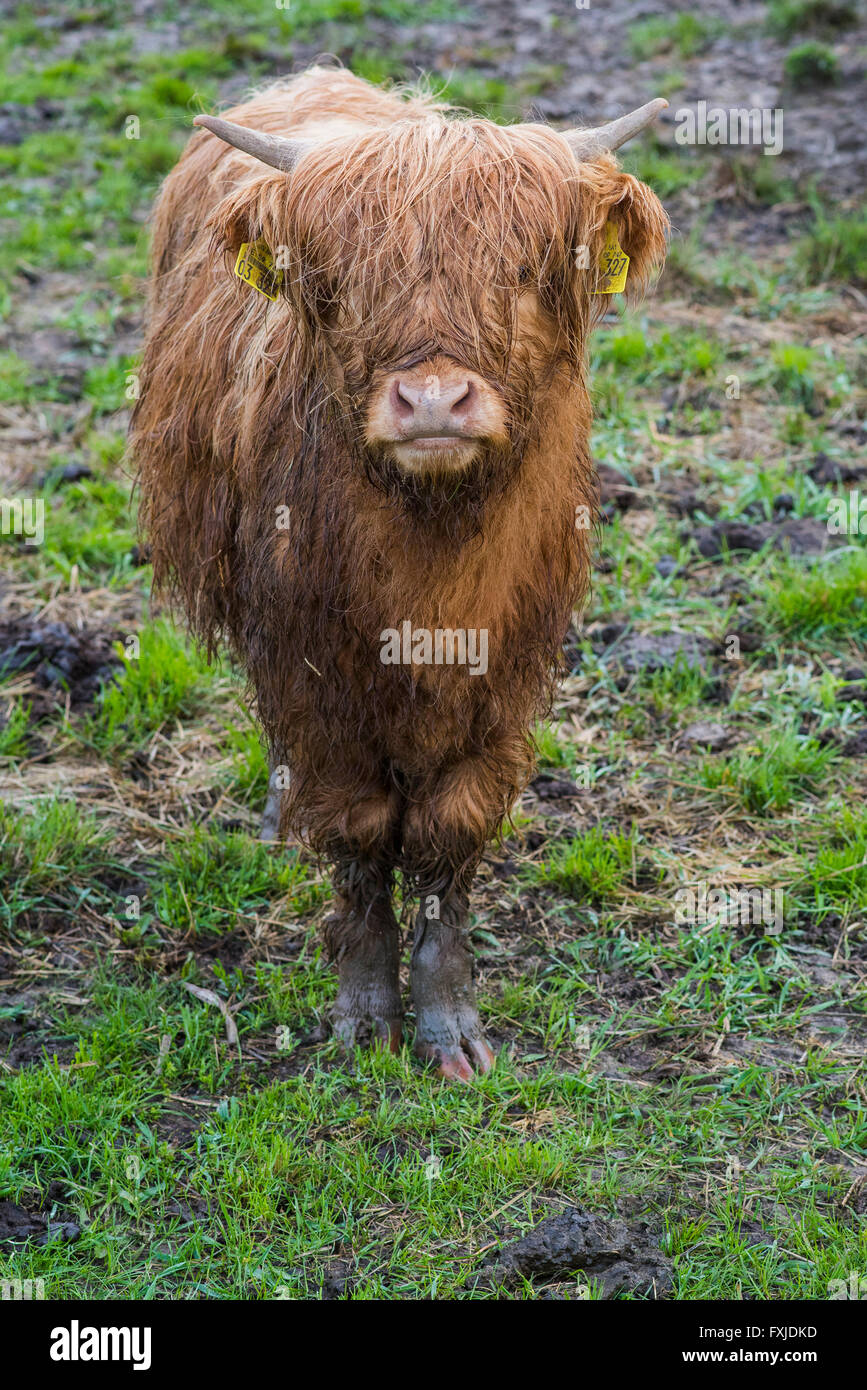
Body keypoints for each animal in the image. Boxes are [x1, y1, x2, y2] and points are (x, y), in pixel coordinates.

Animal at [131, 66, 668, 1079]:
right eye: (341, 284)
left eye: (524, 271)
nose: (431, 402)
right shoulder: (312, 673)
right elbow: (358, 828)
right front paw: (364, 1013)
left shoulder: (505, 672)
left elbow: (450, 831)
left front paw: (450, 1024)